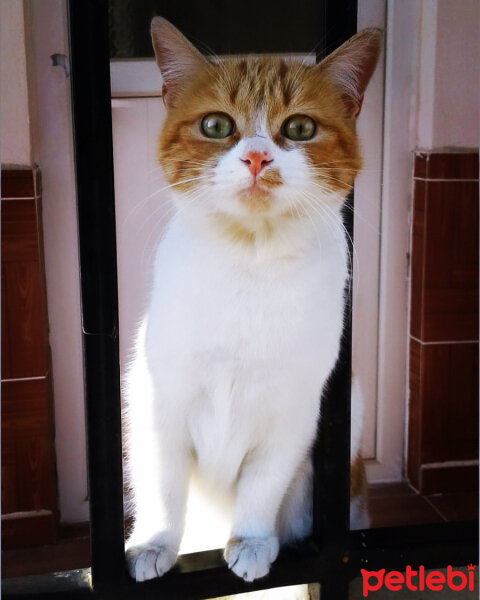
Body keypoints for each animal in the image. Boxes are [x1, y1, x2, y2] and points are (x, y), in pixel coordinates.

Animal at [124, 16, 382, 584]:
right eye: (217, 125)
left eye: (301, 128)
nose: (257, 156)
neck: (249, 262)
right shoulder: (160, 399)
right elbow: (163, 484)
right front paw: (153, 544)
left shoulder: (294, 408)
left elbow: (264, 481)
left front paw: (252, 540)